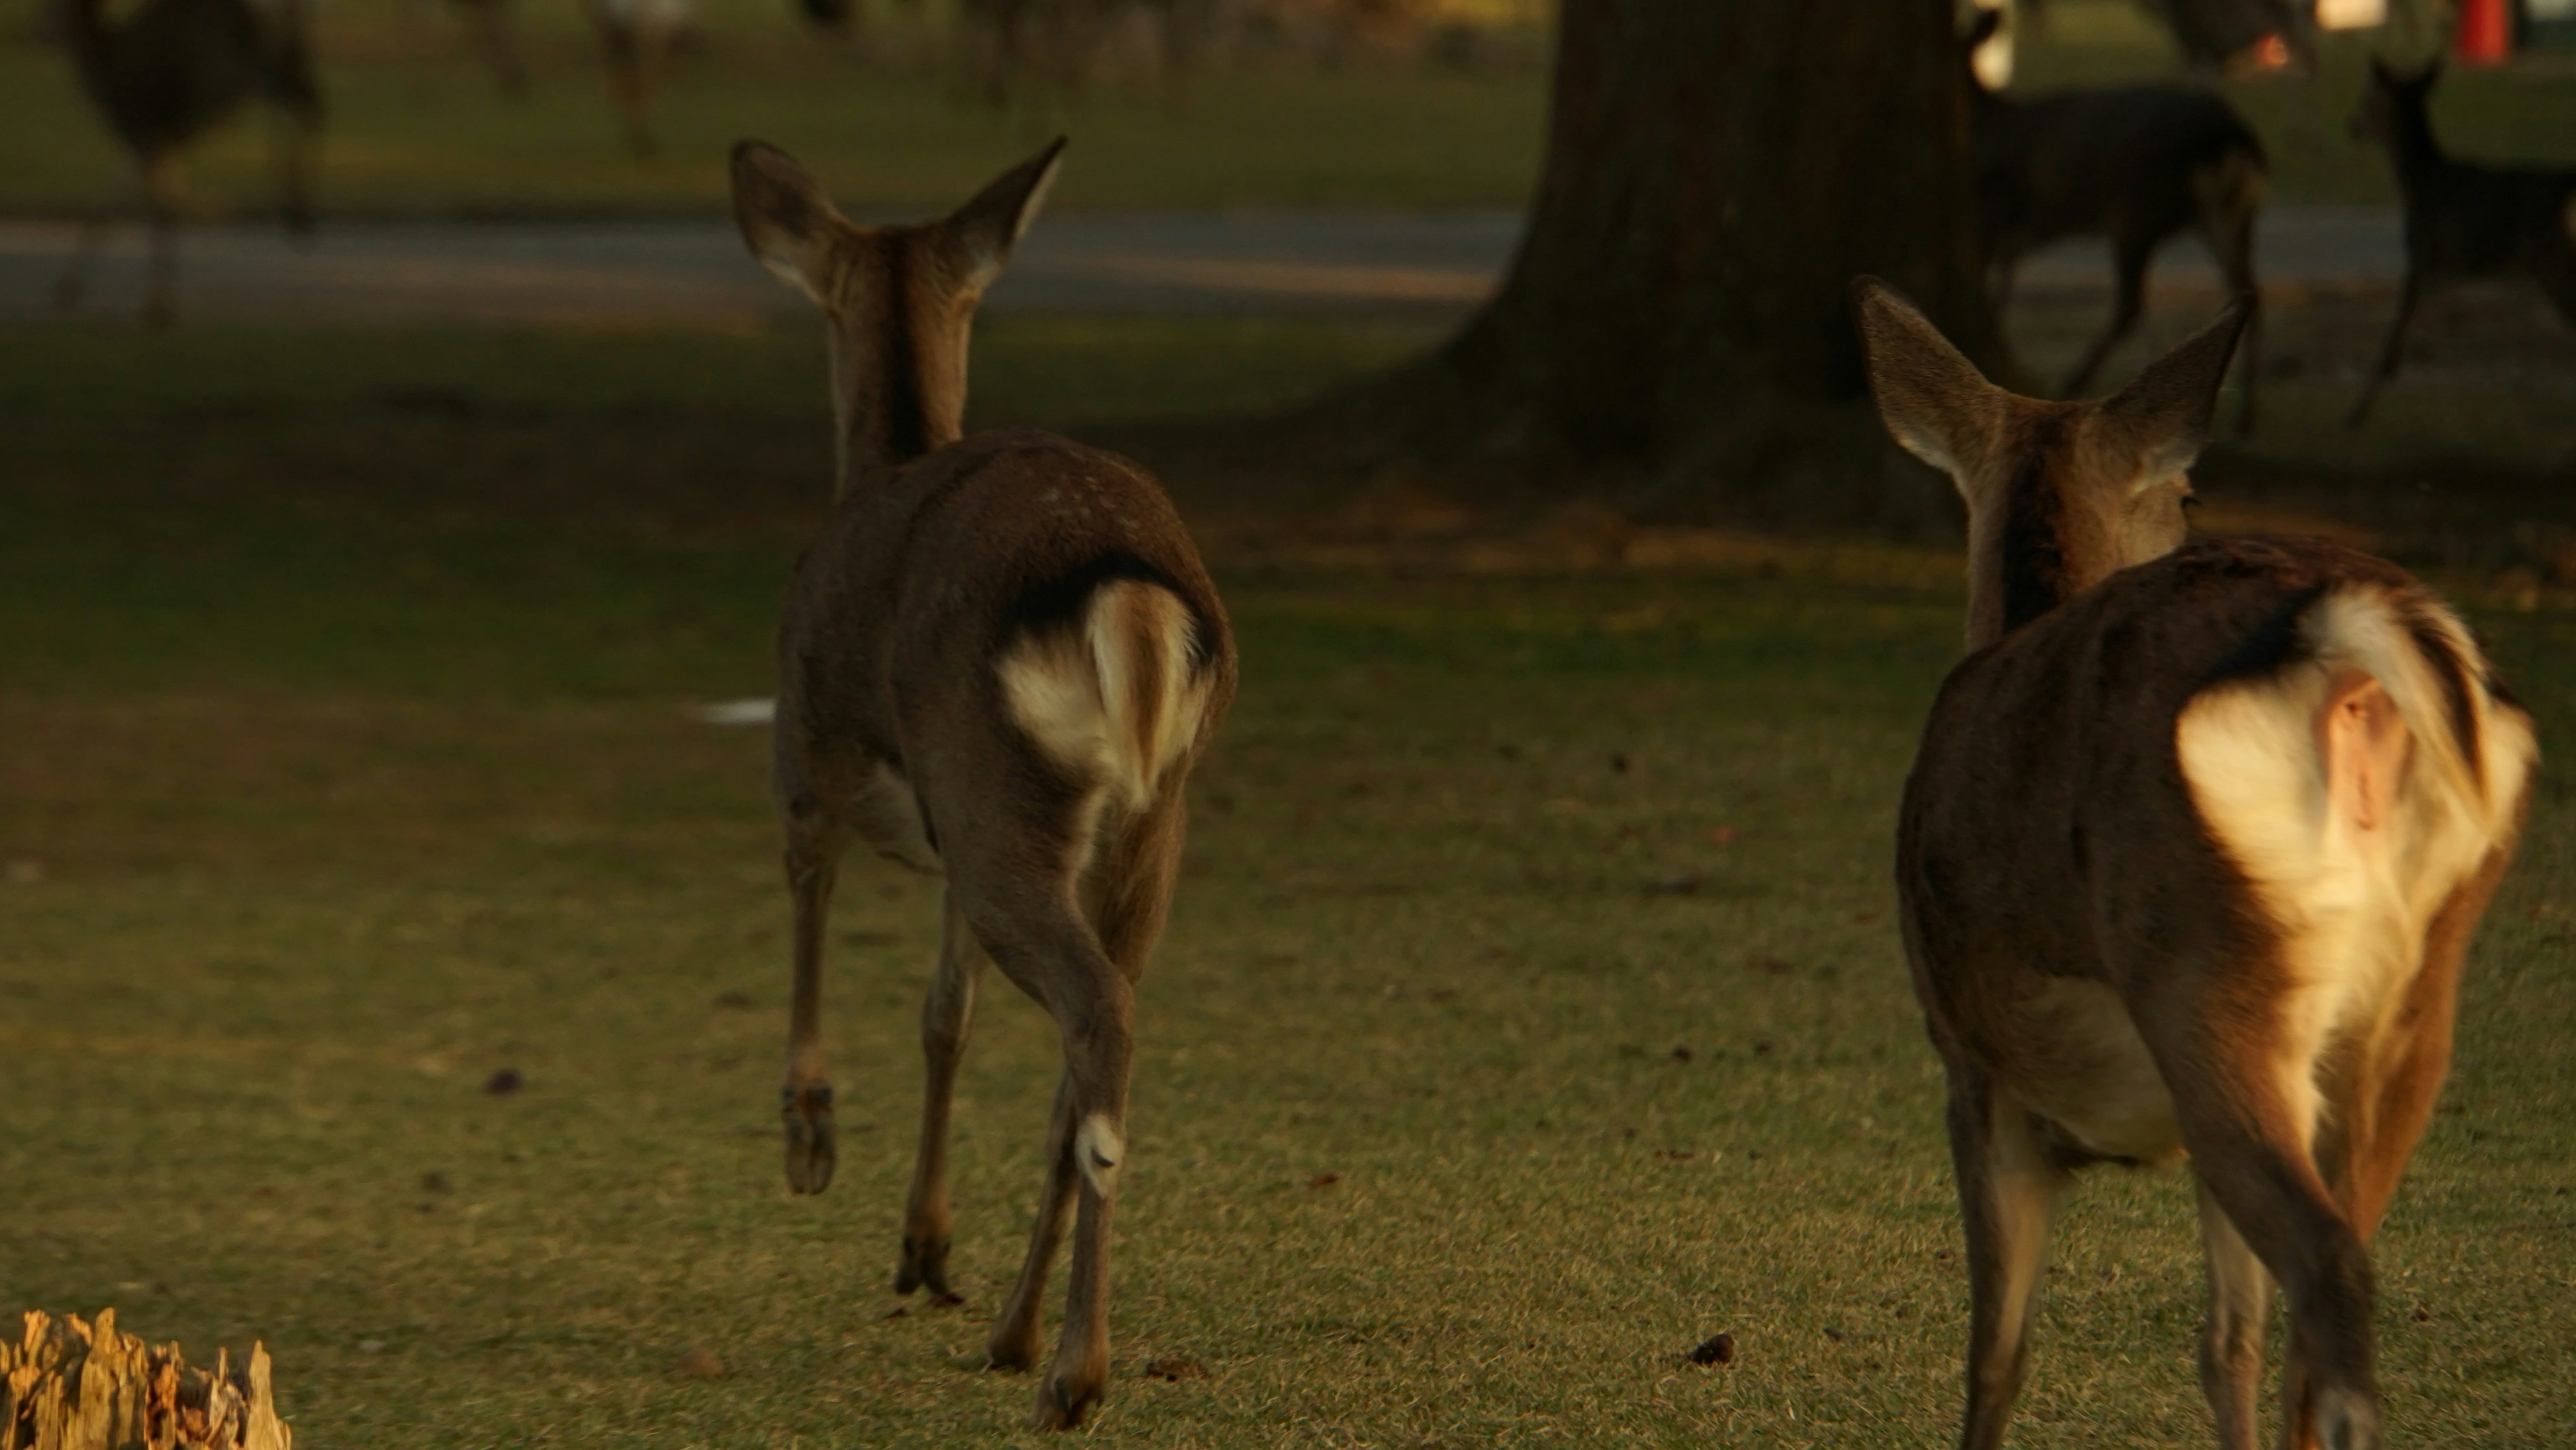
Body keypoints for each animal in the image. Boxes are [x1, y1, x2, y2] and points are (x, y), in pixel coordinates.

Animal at [52, 0, 323, 327]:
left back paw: (294, 214)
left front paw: (158, 303)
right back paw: (294, 214)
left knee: (297, 103)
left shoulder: (142, 127)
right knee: (300, 99)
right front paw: (68, 288)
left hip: (240, 76)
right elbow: (125, 193)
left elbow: (146, 201)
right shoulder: (160, 136)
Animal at [730, 136, 1236, 1431]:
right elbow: (941, 1015)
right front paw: (924, 1244)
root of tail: (1134, 604)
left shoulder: (801, 743)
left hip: (990, 786)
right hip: (1136, 822)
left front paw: (810, 1139)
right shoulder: (949, 840)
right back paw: (1019, 1334)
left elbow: (810, 906)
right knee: (1097, 1033)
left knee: (1095, 1018)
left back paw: (1073, 1371)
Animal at [1852, 276, 2535, 1450]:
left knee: (2328, 1272)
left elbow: (1996, 1354)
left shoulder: (1971, 1066)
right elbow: (2227, 1346)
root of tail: (2348, 655)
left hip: (2202, 963)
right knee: (2319, 1298)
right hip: (2409, 989)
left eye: (2188, 490)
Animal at [1965, 8, 2268, 432]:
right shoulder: (2013, 235)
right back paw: (2246, 418)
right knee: (2249, 287)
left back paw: (2074, 383)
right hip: (2231, 215)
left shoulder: (1993, 213)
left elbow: (1988, 286)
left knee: (2130, 304)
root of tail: (2231, 137)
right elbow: (2003, 290)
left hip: (2138, 211)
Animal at [2345, 56, 2576, 428]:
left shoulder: (2421, 259)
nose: (2350, 125)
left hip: (2552, 262)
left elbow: (2392, 333)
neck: (2418, 184)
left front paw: (2356, 413)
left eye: (2368, 100)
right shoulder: (2447, 275)